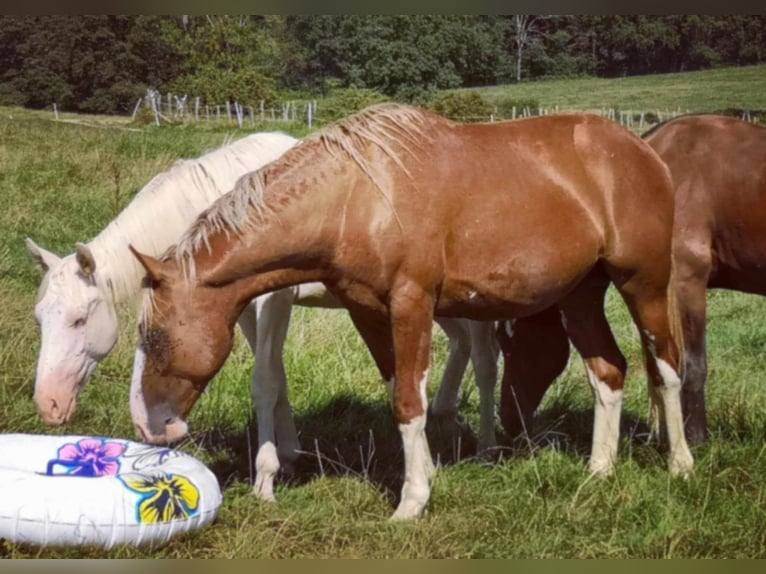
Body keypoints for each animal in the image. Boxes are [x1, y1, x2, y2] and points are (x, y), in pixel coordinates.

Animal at [25, 132, 498, 504]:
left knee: (484, 359)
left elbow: (265, 380)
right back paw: (442, 413)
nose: (48, 405)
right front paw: (289, 453)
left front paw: (266, 479)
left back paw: (486, 446)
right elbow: (277, 377)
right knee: (458, 345)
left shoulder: (273, 300)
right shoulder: (238, 309)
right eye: (40, 319)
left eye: (79, 320)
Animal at [127, 104, 696, 520]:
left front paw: (411, 503)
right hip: (580, 296)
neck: (357, 197)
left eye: (154, 335)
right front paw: (424, 480)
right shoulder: (370, 312)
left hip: (644, 283)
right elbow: (401, 394)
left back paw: (681, 464)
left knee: (668, 368)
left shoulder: (412, 303)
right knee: (609, 372)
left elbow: (409, 402)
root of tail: (643, 151)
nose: (150, 428)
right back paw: (600, 470)